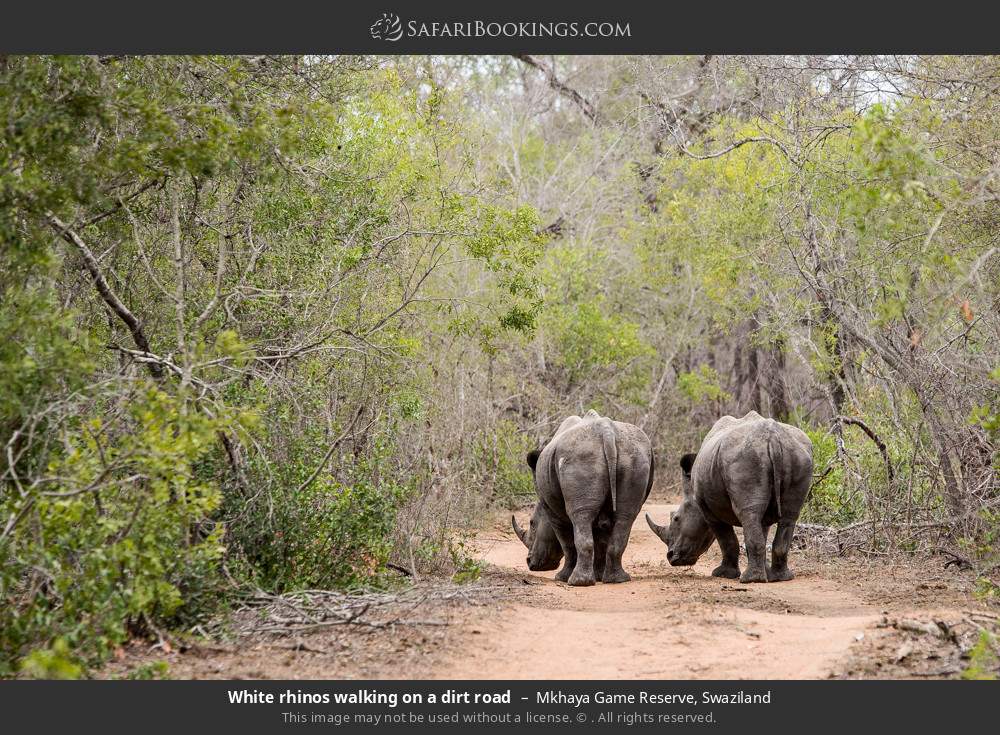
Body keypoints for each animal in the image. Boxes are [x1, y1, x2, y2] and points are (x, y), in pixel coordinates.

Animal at [511, 410, 654, 586]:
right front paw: (598, 576)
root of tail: (607, 430)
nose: (530, 562)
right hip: (633, 457)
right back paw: (617, 580)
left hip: (578, 456)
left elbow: (567, 542)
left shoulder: (552, 512)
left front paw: (562, 577)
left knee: (580, 517)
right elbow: (601, 539)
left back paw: (577, 582)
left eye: (532, 524)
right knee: (626, 516)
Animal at [646, 411, 812, 583]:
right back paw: (781, 578)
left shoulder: (708, 511)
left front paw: (723, 574)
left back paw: (750, 579)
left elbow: (727, 541)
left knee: (748, 513)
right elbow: (761, 531)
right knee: (788, 515)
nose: (671, 557)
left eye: (676, 519)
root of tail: (772, 437)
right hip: (798, 456)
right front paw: (765, 571)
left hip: (745, 459)